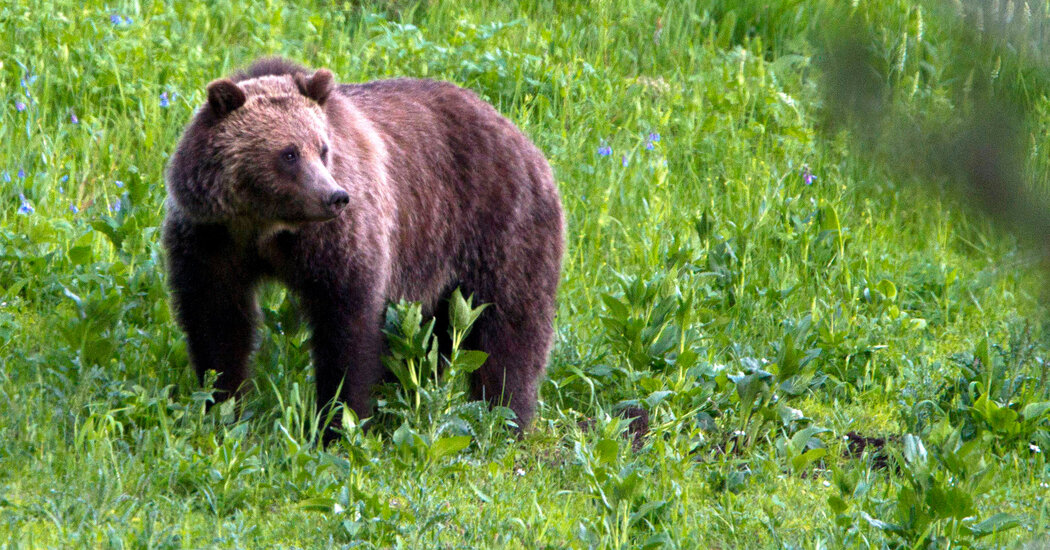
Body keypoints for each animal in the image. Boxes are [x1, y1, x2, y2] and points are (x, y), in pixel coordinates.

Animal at [161, 57, 567, 440]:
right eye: (289, 153)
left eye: (322, 148)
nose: (335, 196)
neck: (266, 226)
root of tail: (521, 136)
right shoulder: (212, 239)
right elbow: (217, 321)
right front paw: (223, 406)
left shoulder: (337, 241)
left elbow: (347, 326)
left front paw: (339, 422)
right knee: (433, 337)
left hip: (498, 226)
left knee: (510, 328)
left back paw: (505, 417)